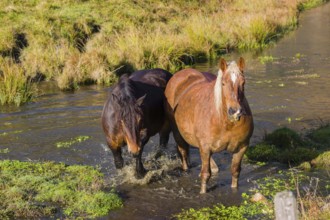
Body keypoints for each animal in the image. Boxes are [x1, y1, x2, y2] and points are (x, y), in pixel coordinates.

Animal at [165, 57, 253, 193]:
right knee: (183, 153)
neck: (225, 123)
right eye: (223, 83)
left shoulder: (242, 147)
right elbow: (206, 174)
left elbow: (235, 172)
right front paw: (202, 192)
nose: (235, 111)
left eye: (243, 83)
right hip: (177, 133)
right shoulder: (205, 147)